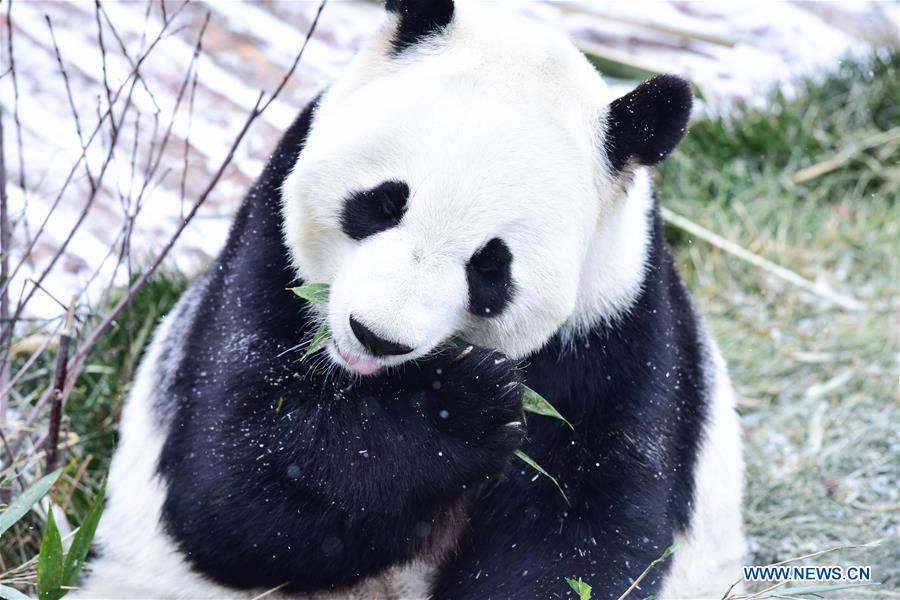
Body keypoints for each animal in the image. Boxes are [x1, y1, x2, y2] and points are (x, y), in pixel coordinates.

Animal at [80, 1, 747, 598]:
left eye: (491, 267)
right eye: (382, 202)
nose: (376, 335)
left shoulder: (613, 327)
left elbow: (583, 526)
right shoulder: (265, 253)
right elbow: (236, 485)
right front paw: (462, 405)